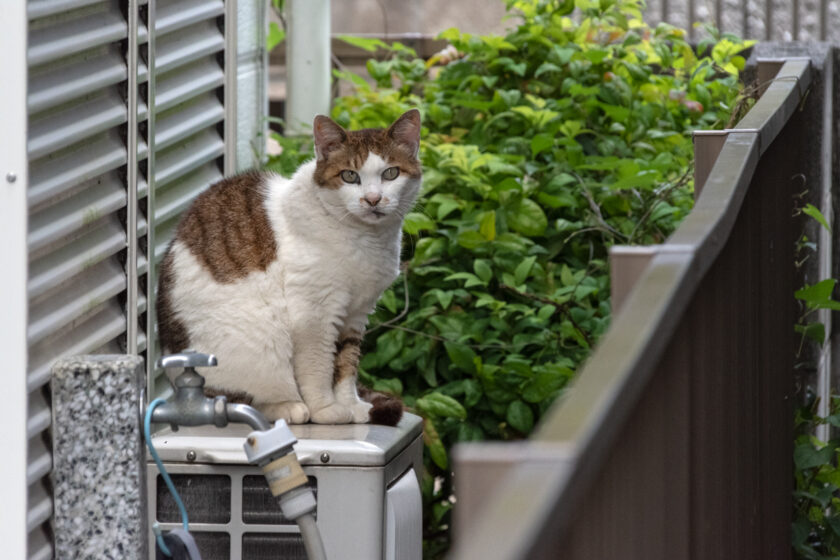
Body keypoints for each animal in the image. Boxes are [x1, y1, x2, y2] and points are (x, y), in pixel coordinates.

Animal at [156, 109, 420, 424]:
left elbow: (346, 366)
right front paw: (326, 409)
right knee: (227, 398)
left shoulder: (355, 315)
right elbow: (318, 366)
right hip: (259, 339)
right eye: (349, 176)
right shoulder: (315, 312)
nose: (372, 199)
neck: (367, 239)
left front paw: (352, 406)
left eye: (390, 173)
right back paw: (288, 407)